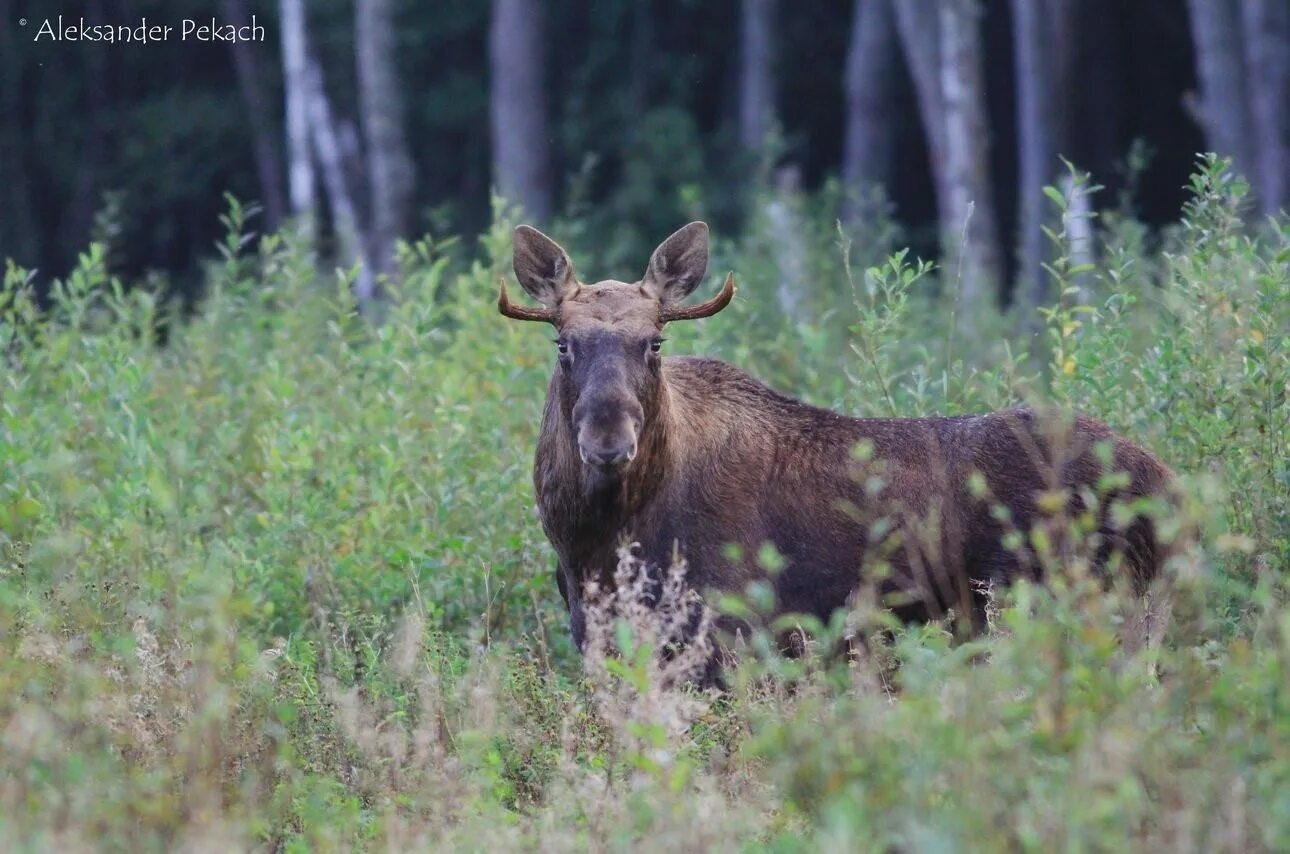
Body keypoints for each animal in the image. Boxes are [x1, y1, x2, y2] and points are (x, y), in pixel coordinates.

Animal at [500, 220, 1181, 660]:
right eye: (563, 343)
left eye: (655, 343)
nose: (608, 440)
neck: (591, 541)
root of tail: (1172, 489)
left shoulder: (735, 633)